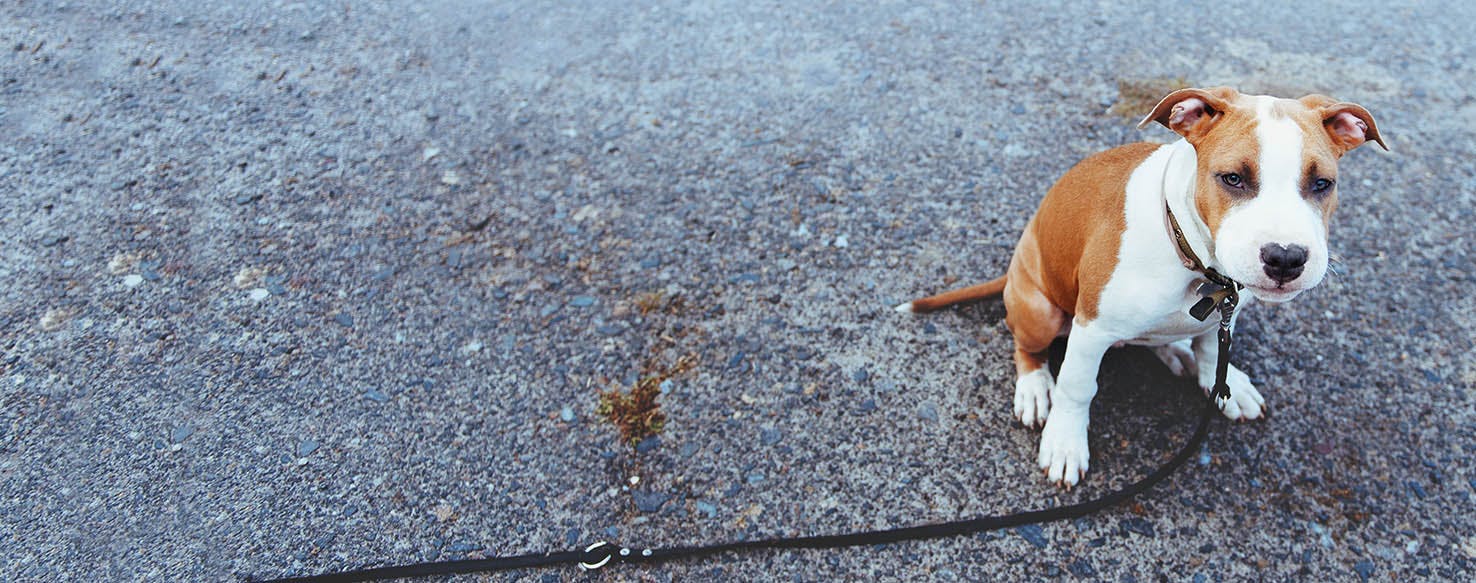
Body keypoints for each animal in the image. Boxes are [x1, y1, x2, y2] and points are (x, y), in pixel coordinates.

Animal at [891, 86, 1387, 490]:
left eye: (1322, 183)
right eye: (1232, 178)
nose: (1286, 258)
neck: (1192, 256)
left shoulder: (1227, 309)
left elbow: (1213, 347)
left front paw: (1223, 380)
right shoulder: (1091, 328)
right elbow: (1077, 387)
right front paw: (1065, 442)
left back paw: (1177, 351)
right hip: (1040, 310)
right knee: (1025, 345)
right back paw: (1034, 388)